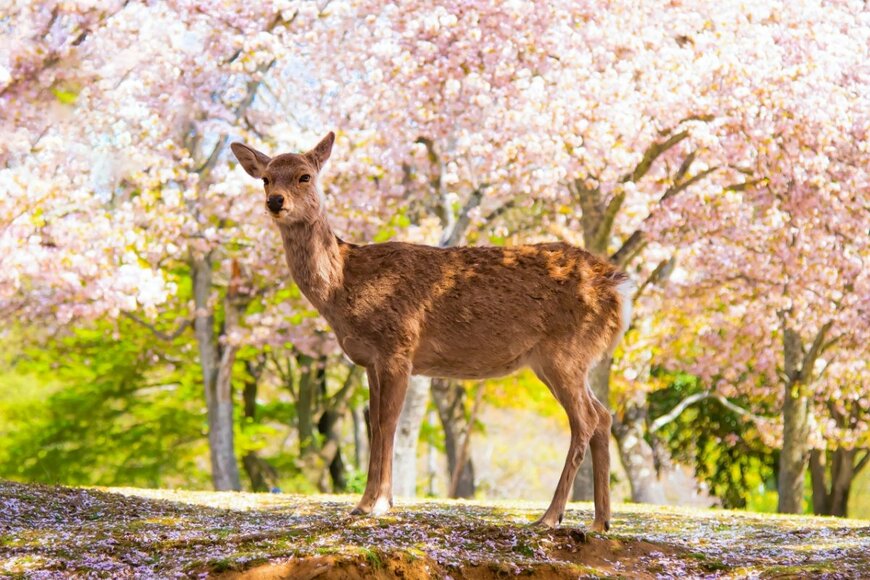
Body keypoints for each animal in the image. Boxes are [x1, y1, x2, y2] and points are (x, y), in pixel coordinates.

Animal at [232, 131, 632, 532]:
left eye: (305, 176)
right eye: (266, 178)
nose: (275, 201)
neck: (344, 284)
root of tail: (617, 287)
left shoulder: (398, 345)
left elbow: (387, 423)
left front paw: (375, 503)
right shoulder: (370, 360)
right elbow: (376, 424)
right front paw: (369, 503)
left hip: (564, 351)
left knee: (586, 420)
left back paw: (550, 517)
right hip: (563, 360)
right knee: (604, 416)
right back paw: (600, 522)